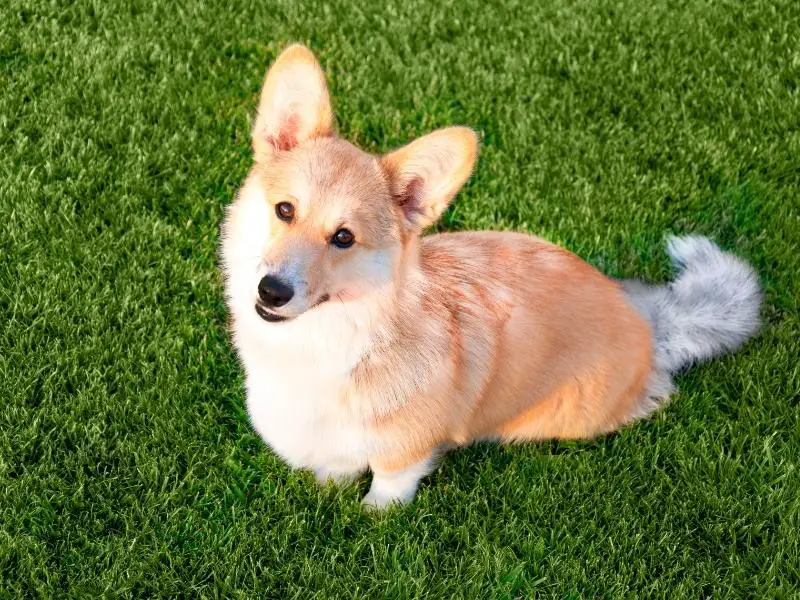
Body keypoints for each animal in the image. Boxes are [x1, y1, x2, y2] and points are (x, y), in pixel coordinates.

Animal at [219, 44, 764, 508]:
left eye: (344, 238)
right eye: (285, 210)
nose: (273, 291)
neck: (332, 339)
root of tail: (649, 324)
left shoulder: (405, 450)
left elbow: (388, 486)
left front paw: (372, 515)